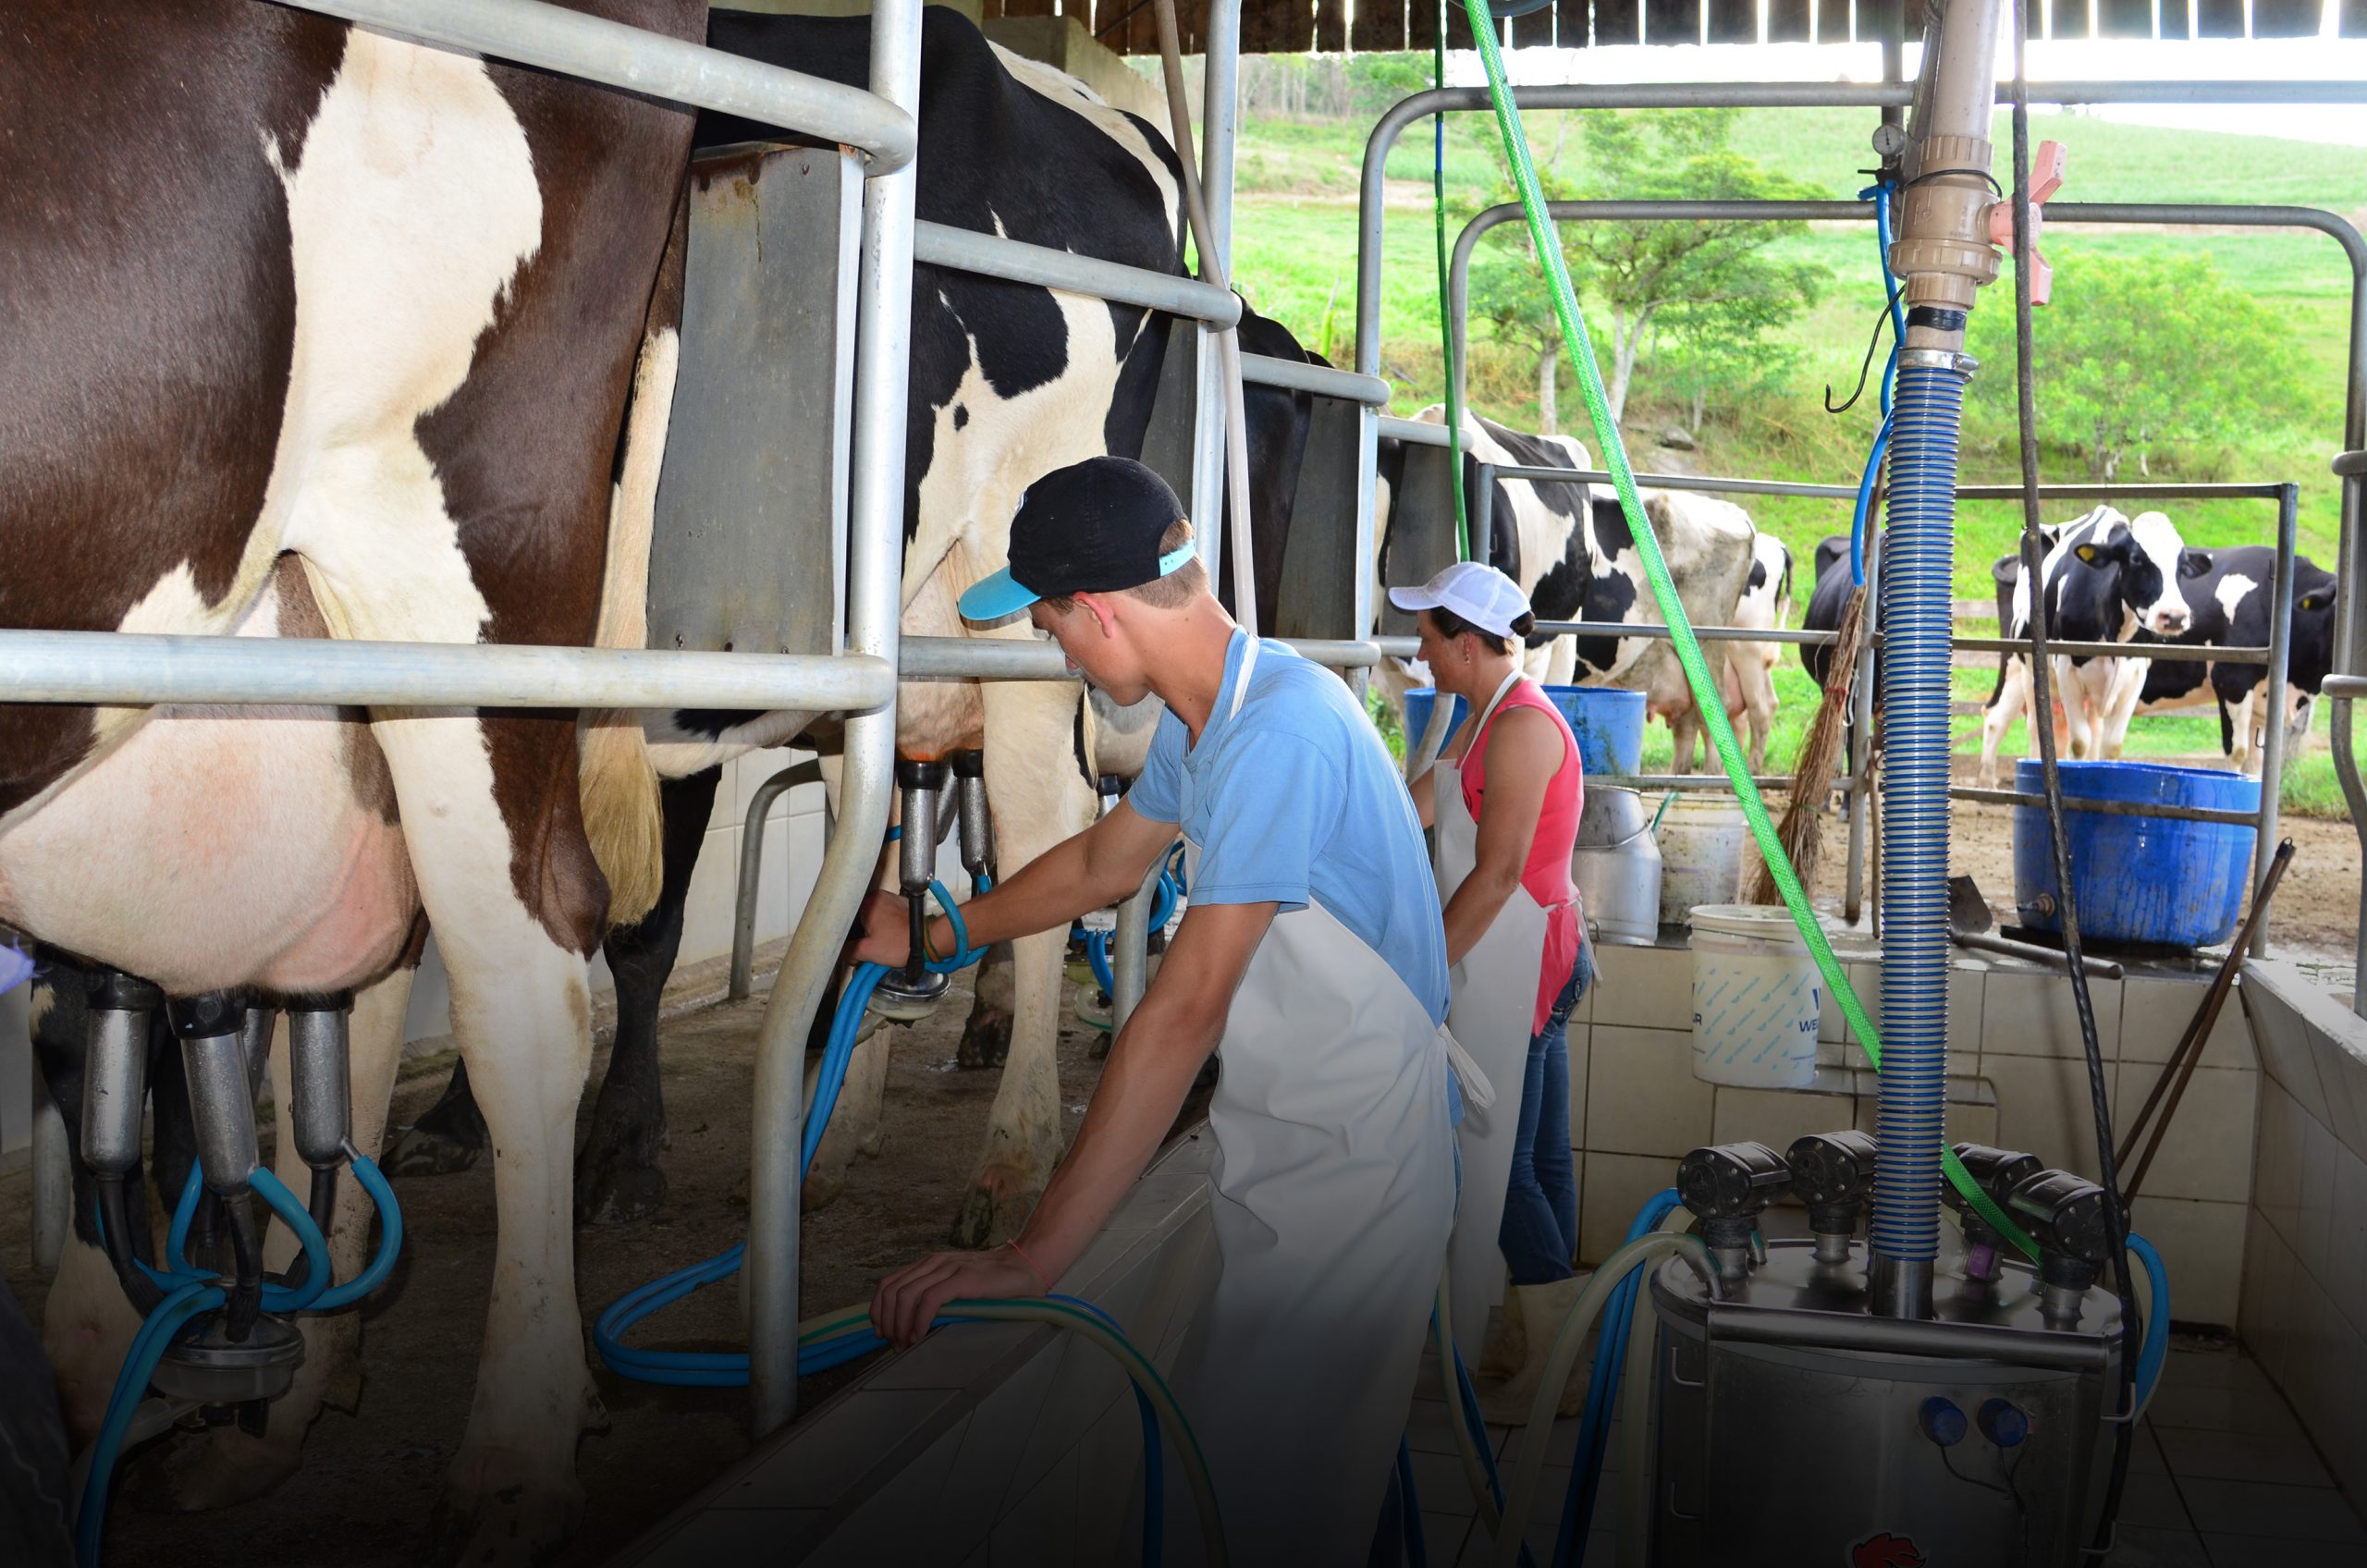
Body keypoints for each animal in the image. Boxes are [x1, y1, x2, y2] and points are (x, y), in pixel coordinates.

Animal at [1968, 508, 2205, 790]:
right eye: (2136, 560)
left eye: (2181, 566)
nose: (2175, 616)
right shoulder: (2066, 669)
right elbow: (2079, 742)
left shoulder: (2135, 675)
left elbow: (2112, 745)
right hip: (2023, 667)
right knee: (2022, 722)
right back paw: (1989, 781)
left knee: (2079, 728)